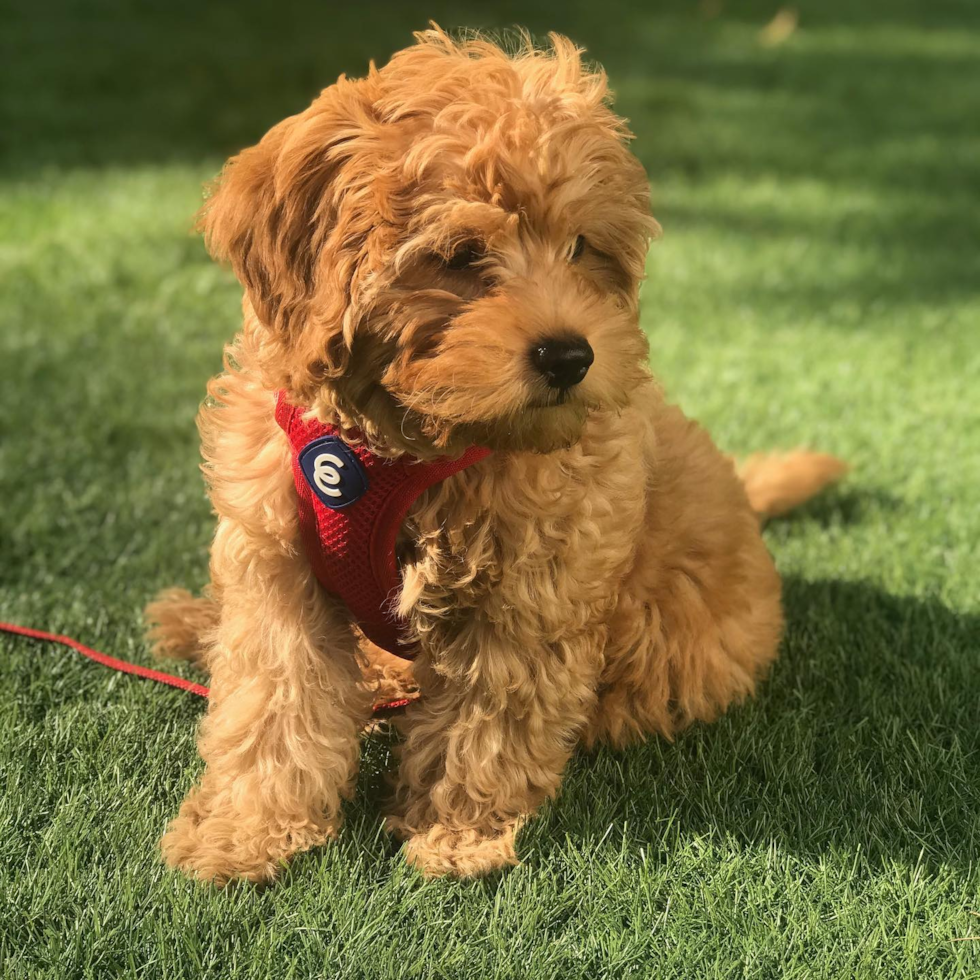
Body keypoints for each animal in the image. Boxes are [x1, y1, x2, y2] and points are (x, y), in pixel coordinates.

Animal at [145, 28, 844, 880]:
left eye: (582, 248)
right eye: (461, 255)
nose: (569, 356)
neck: (403, 446)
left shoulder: (529, 587)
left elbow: (488, 720)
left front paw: (457, 835)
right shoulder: (278, 561)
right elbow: (273, 699)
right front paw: (244, 830)